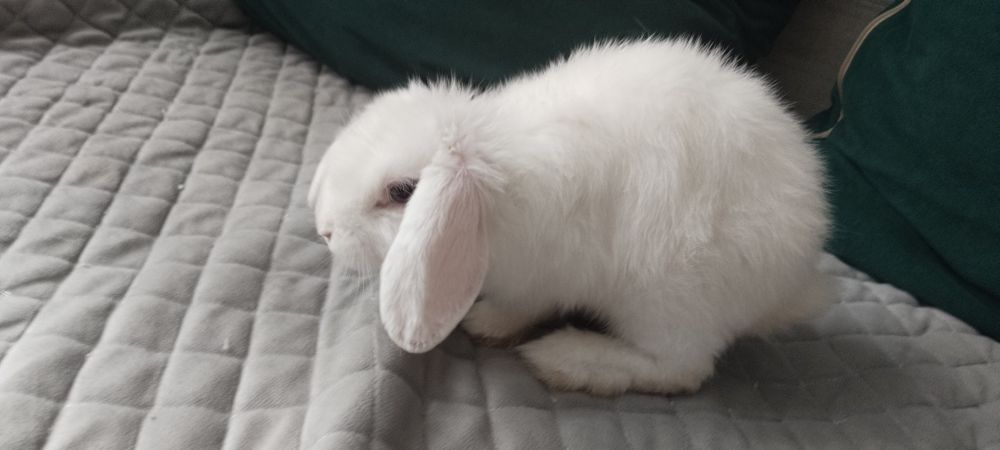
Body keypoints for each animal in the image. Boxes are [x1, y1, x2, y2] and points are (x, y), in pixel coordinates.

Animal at [308, 37, 832, 396]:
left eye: (401, 192)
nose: (326, 231)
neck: (497, 188)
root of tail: (792, 284)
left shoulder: (543, 275)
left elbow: (518, 307)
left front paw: (484, 323)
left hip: (666, 301)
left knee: (679, 369)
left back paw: (565, 359)